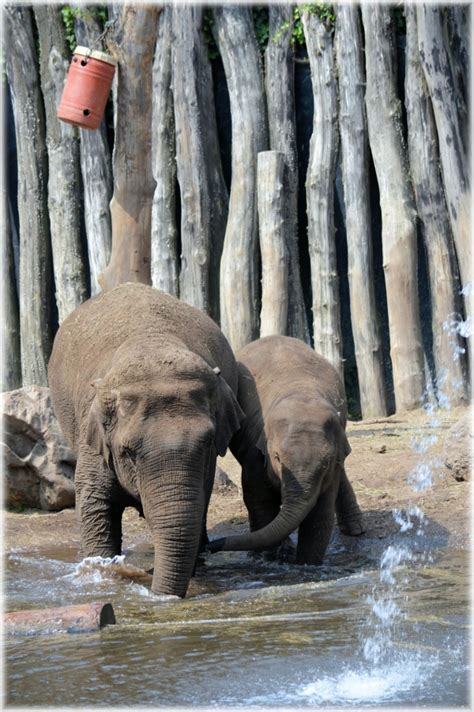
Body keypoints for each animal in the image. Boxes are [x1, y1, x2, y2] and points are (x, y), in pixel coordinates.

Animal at [48, 280, 243, 596]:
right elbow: (94, 505)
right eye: (127, 452)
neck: (152, 347)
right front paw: (101, 573)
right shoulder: (95, 437)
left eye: (207, 444)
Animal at [209, 336, 364, 564]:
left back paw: (355, 530)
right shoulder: (256, 445)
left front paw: (307, 564)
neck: (301, 394)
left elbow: (321, 512)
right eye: (277, 458)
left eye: (326, 463)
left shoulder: (333, 462)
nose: (210, 546)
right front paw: (269, 558)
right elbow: (259, 496)